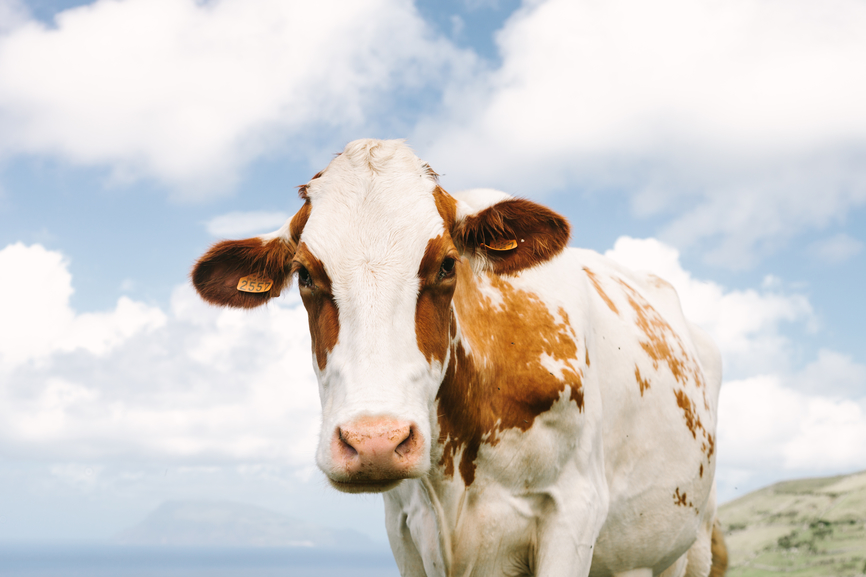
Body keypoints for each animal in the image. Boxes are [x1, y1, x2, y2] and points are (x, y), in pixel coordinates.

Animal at [192, 140, 724, 576]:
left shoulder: (574, 512)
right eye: (304, 274)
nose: (375, 442)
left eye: (448, 264)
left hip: (691, 541)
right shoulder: (405, 529)